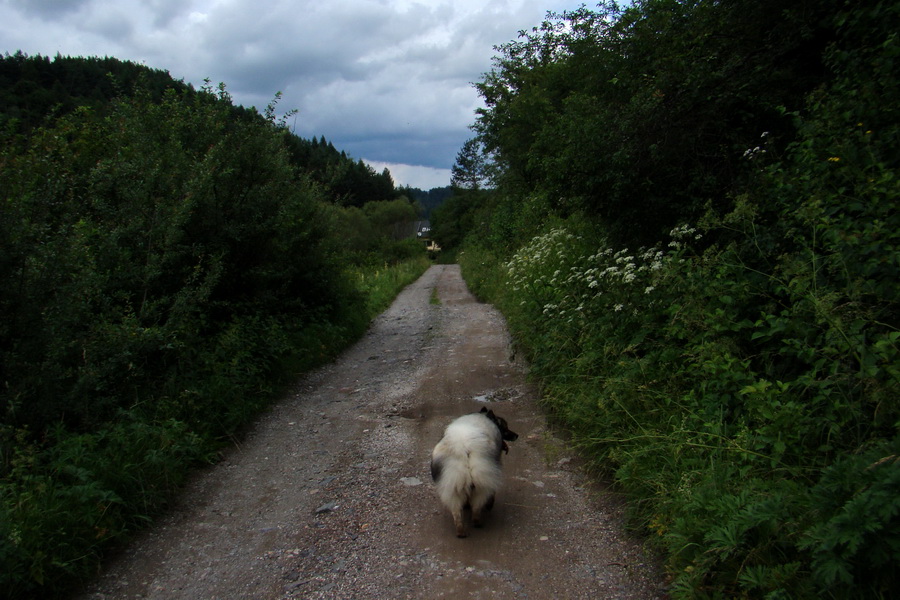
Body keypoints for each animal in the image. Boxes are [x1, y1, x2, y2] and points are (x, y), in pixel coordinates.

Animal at [430, 406, 520, 536]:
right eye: (505, 427)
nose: (516, 435)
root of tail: (463, 448)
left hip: (452, 483)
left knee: (456, 511)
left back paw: (460, 531)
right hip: (482, 480)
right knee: (477, 506)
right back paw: (478, 522)